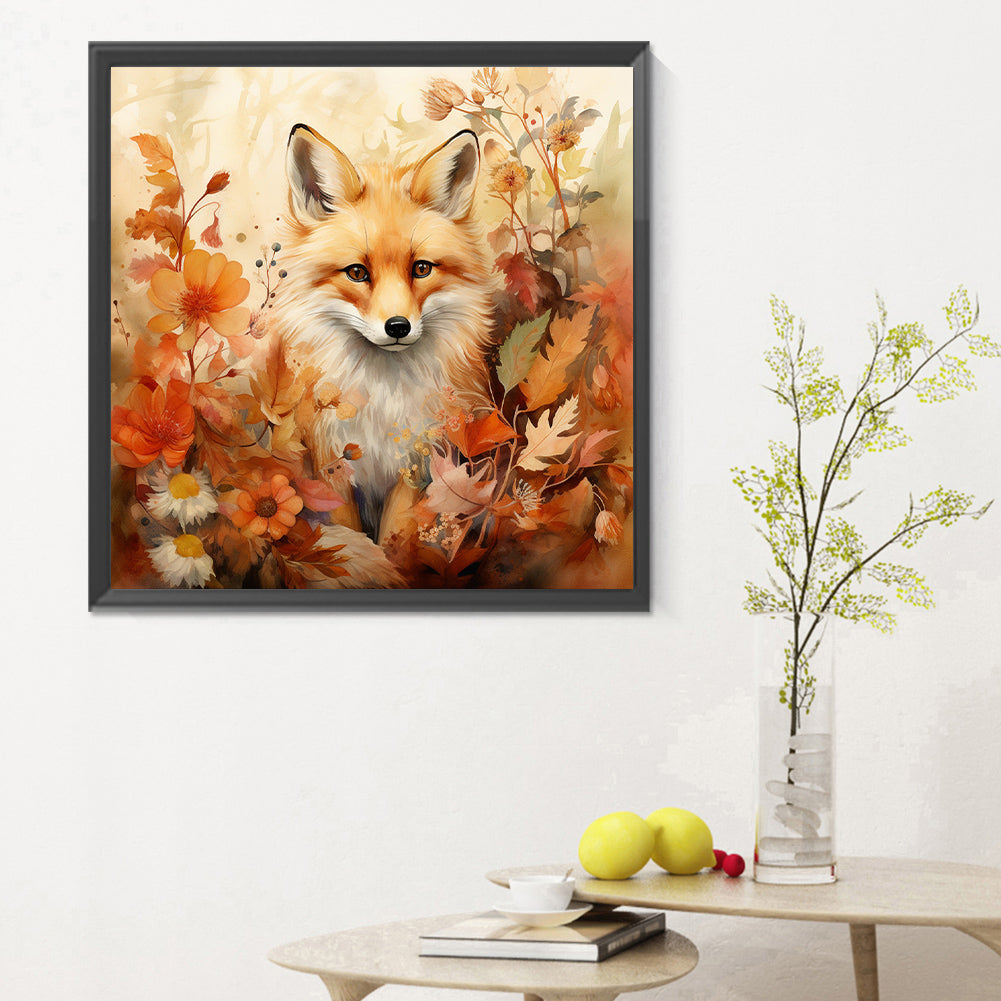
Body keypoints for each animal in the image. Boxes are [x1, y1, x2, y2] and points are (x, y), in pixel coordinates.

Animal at [271, 124, 498, 540]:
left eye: (421, 268)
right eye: (357, 272)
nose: (397, 327)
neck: (382, 398)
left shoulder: (418, 461)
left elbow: (395, 536)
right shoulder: (331, 461)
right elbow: (348, 533)